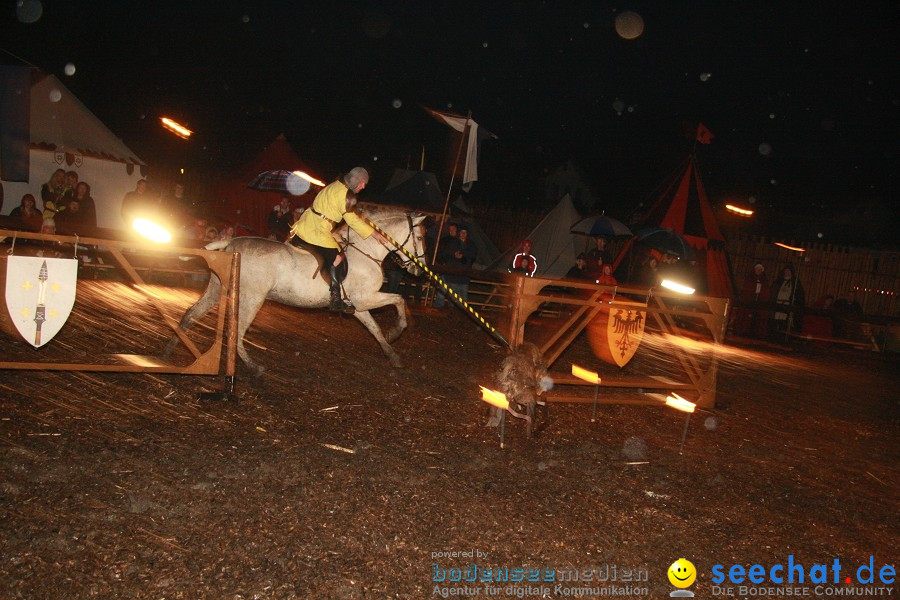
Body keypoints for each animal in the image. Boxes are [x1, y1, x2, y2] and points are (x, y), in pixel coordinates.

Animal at [169, 209, 428, 372]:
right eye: (420, 236)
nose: (419, 270)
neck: (366, 251)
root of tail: (230, 243)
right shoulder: (366, 299)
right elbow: (399, 299)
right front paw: (396, 331)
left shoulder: (358, 306)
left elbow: (374, 328)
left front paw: (392, 353)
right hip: (252, 298)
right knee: (237, 332)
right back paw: (254, 368)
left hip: (218, 289)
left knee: (192, 313)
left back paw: (169, 350)